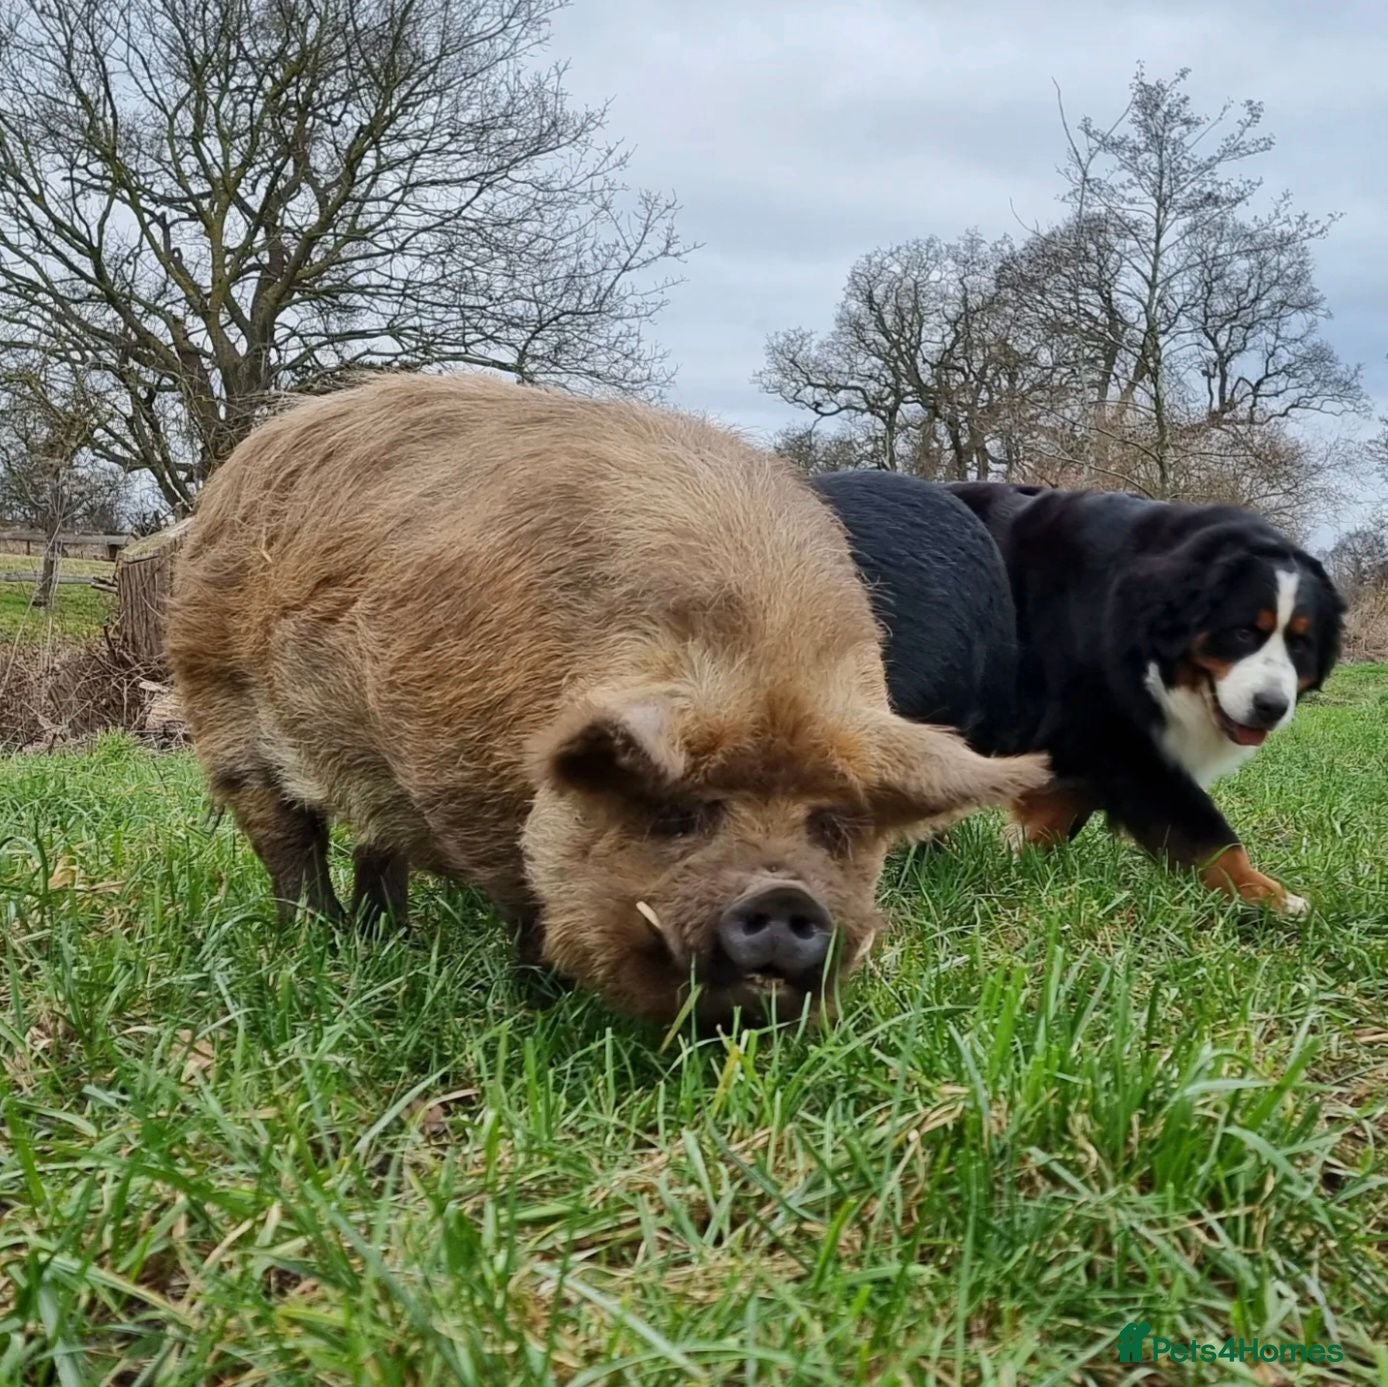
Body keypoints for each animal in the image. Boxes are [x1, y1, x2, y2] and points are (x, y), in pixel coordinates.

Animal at [168, 373, 1048, 1025]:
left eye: (833, 826)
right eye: (678, 814)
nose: (782, 893)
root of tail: (245, 456)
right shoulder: (462, 773)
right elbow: (526, 893)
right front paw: (542, 1001)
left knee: (376, 842)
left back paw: (392, 941)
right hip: (220, 702)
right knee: (288, 836)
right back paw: (320, 945)